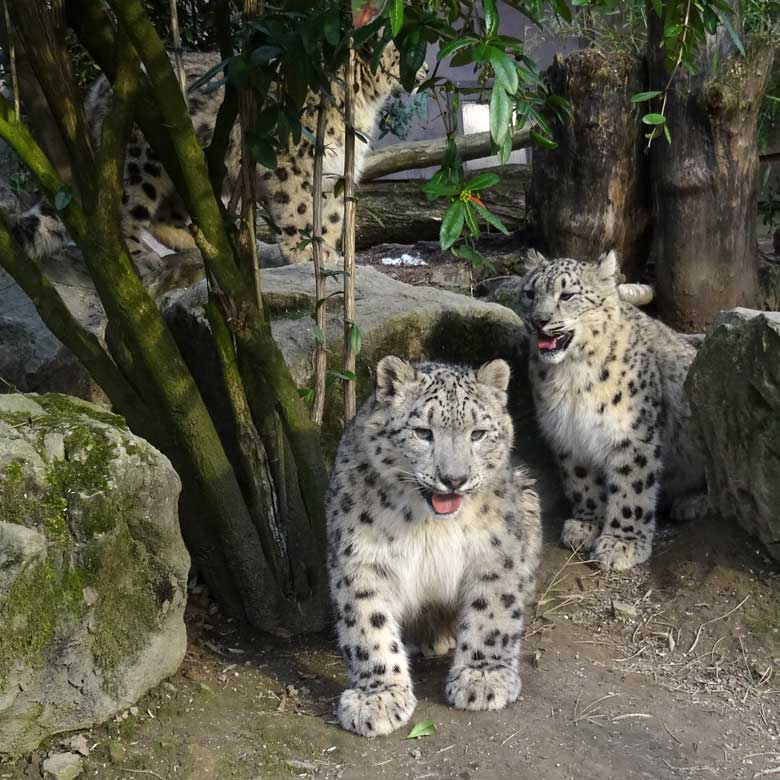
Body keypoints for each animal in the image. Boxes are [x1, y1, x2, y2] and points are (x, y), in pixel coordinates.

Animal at [12, 42, 414, 276]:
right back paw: (143, 259)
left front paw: (328, 252)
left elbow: (330, 215)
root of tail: (97, 89)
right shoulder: (295, 162)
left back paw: (198, 242)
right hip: (141, 163)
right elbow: (300, 209)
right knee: (120, 212)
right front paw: (306, 255)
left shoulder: (333, 170)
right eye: (405, 54)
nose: (423, 69)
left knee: (169, 213)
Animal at [324, 358, 544, 736]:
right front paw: (378, 697)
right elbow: (368, 623)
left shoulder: (496, 550)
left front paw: (483, 678)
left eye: (477, 434)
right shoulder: (361, 557)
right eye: (423, 432)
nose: (453, 479)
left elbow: (493, 611)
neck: (428, 524)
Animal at [516, 251, 708, 572]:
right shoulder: (566, 431)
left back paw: (692, 502)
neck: (571, 377)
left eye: (567, 295)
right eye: (529, 293)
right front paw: (586, 524)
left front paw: (621, 543)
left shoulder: (631, 434)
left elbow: (632, 488)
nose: (538, 320)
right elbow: (581, 479)